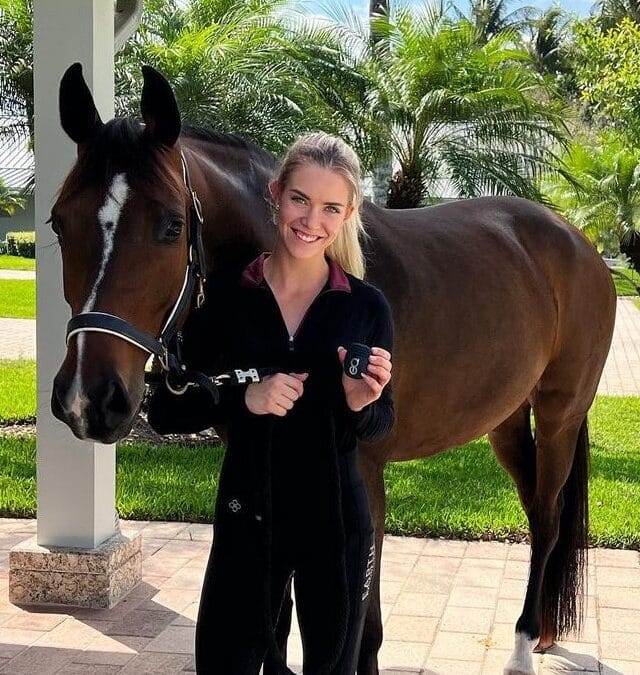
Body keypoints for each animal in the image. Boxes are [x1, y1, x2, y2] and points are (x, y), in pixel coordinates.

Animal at [50, 64, 616, 675]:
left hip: (559, 414)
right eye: (58, 223)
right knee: (536, 508)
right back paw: (544, 634)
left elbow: (361, 628)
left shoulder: (365, 480)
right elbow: (274, 620)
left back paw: (523, 646)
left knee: (548, 518)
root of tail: (579, 243)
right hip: (506, 420)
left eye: (172, 226)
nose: (88, 399)